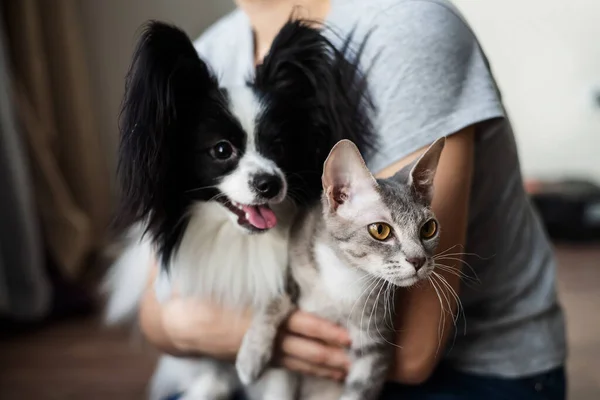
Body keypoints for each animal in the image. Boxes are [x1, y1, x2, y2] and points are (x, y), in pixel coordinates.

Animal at [103, 19, 376, 400]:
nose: (269, 183)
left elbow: (277, 383)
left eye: (279, 145)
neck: (242, 240)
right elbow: (211, 366)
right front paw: (208, 386)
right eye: (221, 150)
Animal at [237, 136, 448, 398]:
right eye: (380, 230)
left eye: (428, 228)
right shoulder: (295, 253)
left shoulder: (375, 342)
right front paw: (251, 356)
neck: (346, 274)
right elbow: (276, 297)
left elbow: (359, 389)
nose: (418, 259)